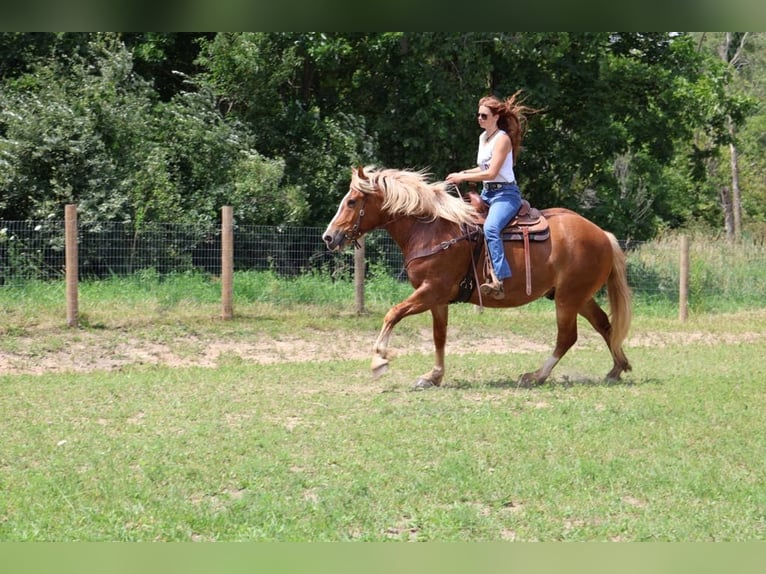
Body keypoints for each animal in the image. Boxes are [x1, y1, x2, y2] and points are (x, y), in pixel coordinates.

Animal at [320, 166, 632, 392]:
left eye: (351, 201)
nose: (328, 237)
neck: (433, 231)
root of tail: (603, 234)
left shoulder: (430, 291)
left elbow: (393, 313)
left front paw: (379, 360)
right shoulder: (437, 299)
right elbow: (439, 336)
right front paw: (433, 376)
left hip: (568, 299)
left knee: (567, 337)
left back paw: (535, 376)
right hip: (578, 296)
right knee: (604, 325)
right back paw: (617, 368)